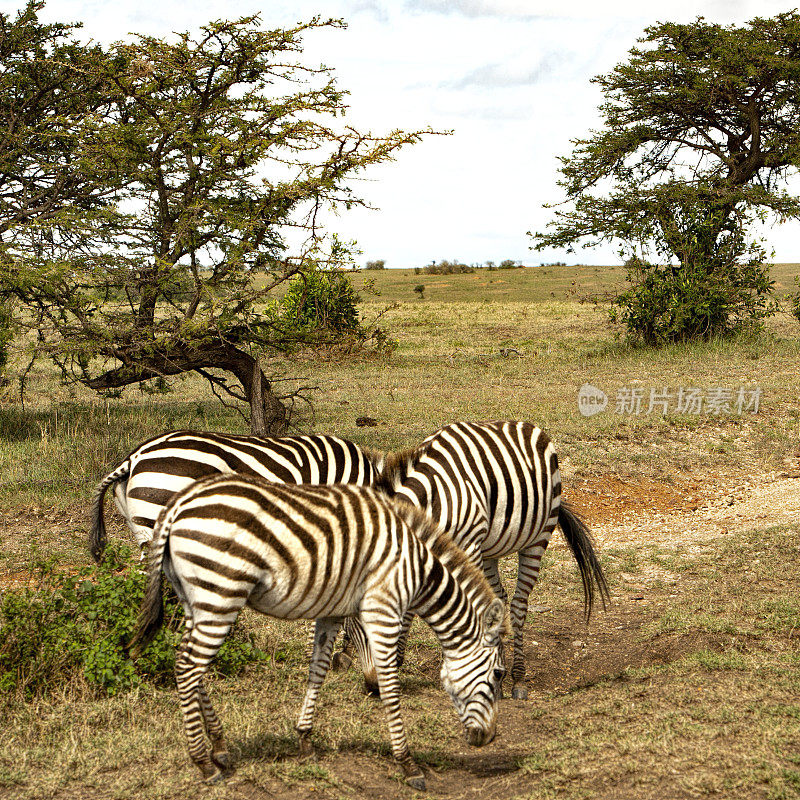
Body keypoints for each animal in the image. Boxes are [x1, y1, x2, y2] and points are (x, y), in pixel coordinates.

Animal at [130, 476, 506, 788]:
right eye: (498, 675)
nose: (489, 738)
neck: (418, 567)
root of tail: (179, 502)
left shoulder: (332, 613)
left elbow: (318, 670)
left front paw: (305, 740)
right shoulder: (383, 609)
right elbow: (390, 683)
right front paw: (408, 764)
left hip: (195, 598)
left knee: (192, 667)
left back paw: (220, 748)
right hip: (220, 591)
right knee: (188, 667)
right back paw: (204, 763)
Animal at [336, 418, 608, 700]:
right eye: (348, 633)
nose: (372, 687)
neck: (433, 499)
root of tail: (522, 424)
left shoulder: (468, 545)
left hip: (538, 535)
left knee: (519, 604)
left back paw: (518, 679)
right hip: (489, 549)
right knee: (498, 598)